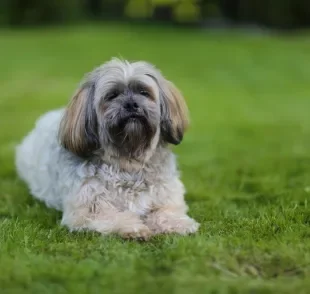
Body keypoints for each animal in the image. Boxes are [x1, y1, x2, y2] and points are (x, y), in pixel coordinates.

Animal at [15, 58, 200, 240]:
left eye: (143, 92)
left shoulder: (166, 198)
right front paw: (134, 228)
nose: (131, 104)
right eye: (112, 96)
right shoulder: (89, 209)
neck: (127, 161)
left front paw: (178, 224)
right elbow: (115, 217)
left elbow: (166, 212)